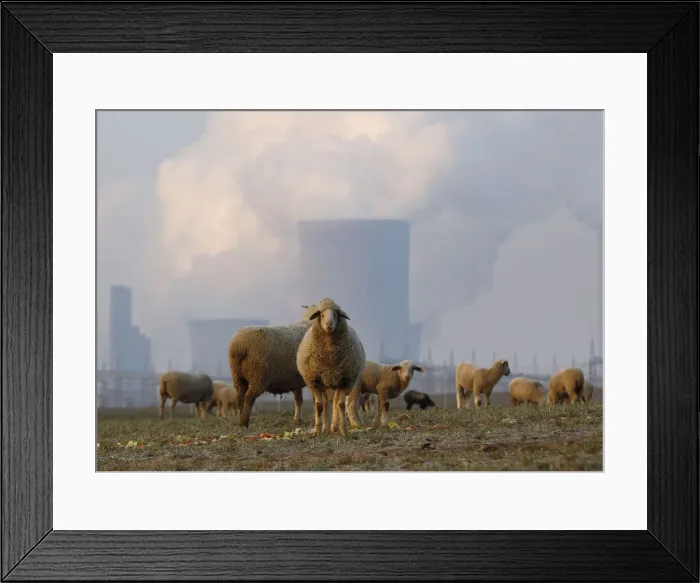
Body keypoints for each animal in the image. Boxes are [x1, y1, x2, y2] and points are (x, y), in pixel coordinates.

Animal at [296, 298, 366, 437]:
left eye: (336, 314)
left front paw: (344, 430)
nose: (329, 324)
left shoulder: (345, 381)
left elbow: (340, 405)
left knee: (334, 403)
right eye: (321, 314)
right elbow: (319, 406)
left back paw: (333, 427)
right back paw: (325, 428)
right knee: (325, 403)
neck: (329, 357)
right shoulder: (314, 381)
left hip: (336, 383)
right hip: (323, 383)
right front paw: (317, 431)